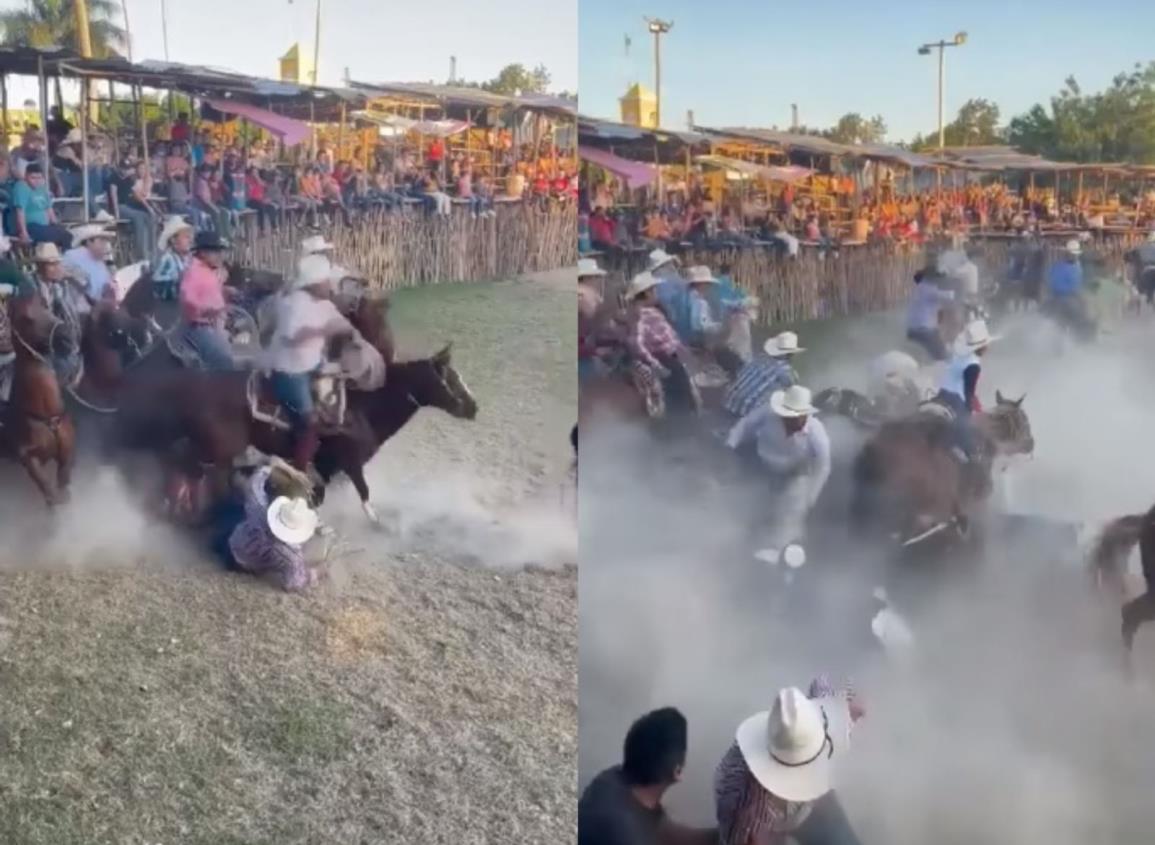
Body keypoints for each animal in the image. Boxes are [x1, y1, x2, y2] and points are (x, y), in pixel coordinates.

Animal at [1, 297, 77, 507]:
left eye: (47, 305)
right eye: (25, 318)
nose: (66, 335)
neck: (47, 416)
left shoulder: (67, 449)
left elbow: (63, 478)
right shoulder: (27, 456)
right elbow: (46, 487)